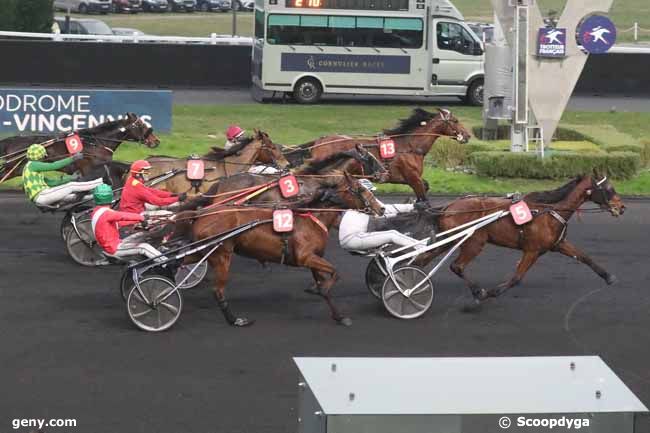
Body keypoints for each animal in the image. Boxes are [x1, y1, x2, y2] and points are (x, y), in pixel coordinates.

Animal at [0, 113, 159, 181]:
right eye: (140, 124)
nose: (156, 141)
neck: (96, 142)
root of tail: (11, 140)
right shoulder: (91, 167)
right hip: (15, 168)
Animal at [173, 170, 384, 326]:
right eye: (360, 189)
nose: (381, 208)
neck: (312, 218)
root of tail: (202, 213)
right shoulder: (305, 257)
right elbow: (335, 273)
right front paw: (319, 290)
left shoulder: (314, 259)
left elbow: (326, 286)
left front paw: (338, 315)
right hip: (221, 254)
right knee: (217, 290)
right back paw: (235, 320)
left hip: (202, 251)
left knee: (177, 263)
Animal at [280, 109, 468, 201]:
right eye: (456, 121)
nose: (467, 135)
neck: (410, 146)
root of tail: (320, 140)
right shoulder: (412, 177)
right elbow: (423, 196)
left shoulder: (403, 178)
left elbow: (425, 187)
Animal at [418, 170, 624, 308]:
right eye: (608, 188)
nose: (621, 207)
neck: (549, 211)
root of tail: (448, 206)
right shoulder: (532, 250)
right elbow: (517, 277)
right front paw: (491, 292)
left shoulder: (558, 244)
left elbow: (584, 257)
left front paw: (609, 277)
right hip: (474, 242)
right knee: (456, 266)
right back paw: (478, 291)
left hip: (451, 239)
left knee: (425, 258)